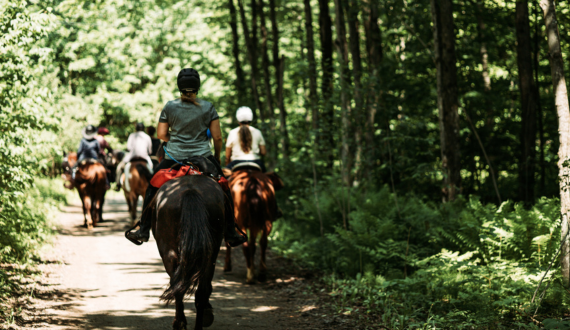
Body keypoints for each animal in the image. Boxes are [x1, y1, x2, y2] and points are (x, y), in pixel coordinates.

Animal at [151, 175, 226, 330]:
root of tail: (190, 191)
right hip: (210, 253)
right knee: (200, 291)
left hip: (168, 251)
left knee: (179, 286)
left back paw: (180, 323)